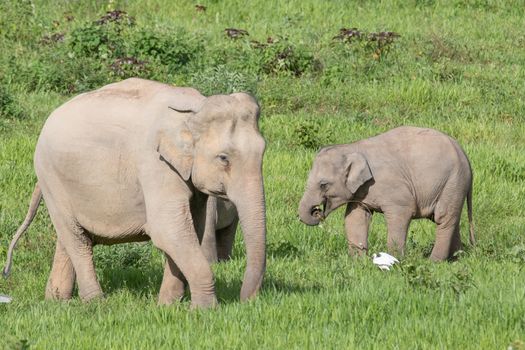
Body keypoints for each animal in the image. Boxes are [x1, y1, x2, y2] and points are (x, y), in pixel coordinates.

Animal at [3, 78, 266, 308]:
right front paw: (204, 310)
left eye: (264, 150)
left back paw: (57, 302)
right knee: (77, 240)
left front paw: (167, 307)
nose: (246, 302)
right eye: (224, 158)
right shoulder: (153, 164)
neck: (194, 107)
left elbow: (191, 228)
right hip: (51, 178)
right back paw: (97, 304)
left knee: (69, 238)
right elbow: (168, 229)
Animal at [298, 126, 474, 260]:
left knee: (443, 218)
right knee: (452, 219)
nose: (316, 211)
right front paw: (357, 261)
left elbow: (402, 213)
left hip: (452, 182)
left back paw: (435, 261)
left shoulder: (392, 186)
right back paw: (457, 258)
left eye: (323, 185)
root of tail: (464, 154)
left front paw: (394, 260)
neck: (352, 147)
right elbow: (355, 217)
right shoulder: (361, 192)